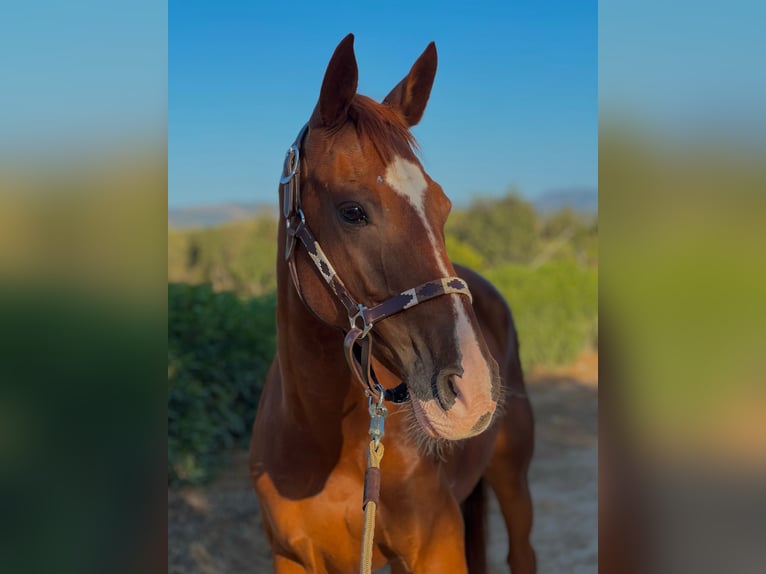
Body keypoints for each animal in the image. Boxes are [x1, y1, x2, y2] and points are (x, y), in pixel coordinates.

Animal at [249, 36, 536, 574]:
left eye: (443, 205)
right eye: (352, 210)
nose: (473, 390)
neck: (324, 442)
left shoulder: (437, 550)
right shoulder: (291, 557)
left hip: (513, 475)